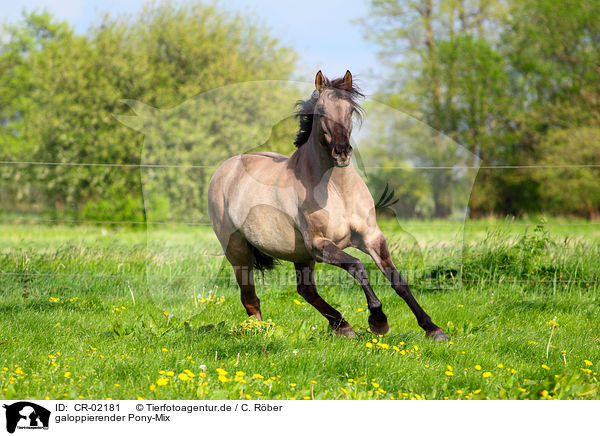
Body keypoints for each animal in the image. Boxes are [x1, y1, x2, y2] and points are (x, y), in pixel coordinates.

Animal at [209, 70, 448, 338]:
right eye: (322, 111)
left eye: (350, 110)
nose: (342, 152)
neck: (338, 192)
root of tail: (225, 168)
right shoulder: (319, 243)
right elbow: (357, 266)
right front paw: (378, 320)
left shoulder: (371, 237)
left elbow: (397, 279)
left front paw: (432, 328)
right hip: (238, 250)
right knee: (250, 298)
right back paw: (262, 332)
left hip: (300, 254)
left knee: (306, 290)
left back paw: (342, 326)